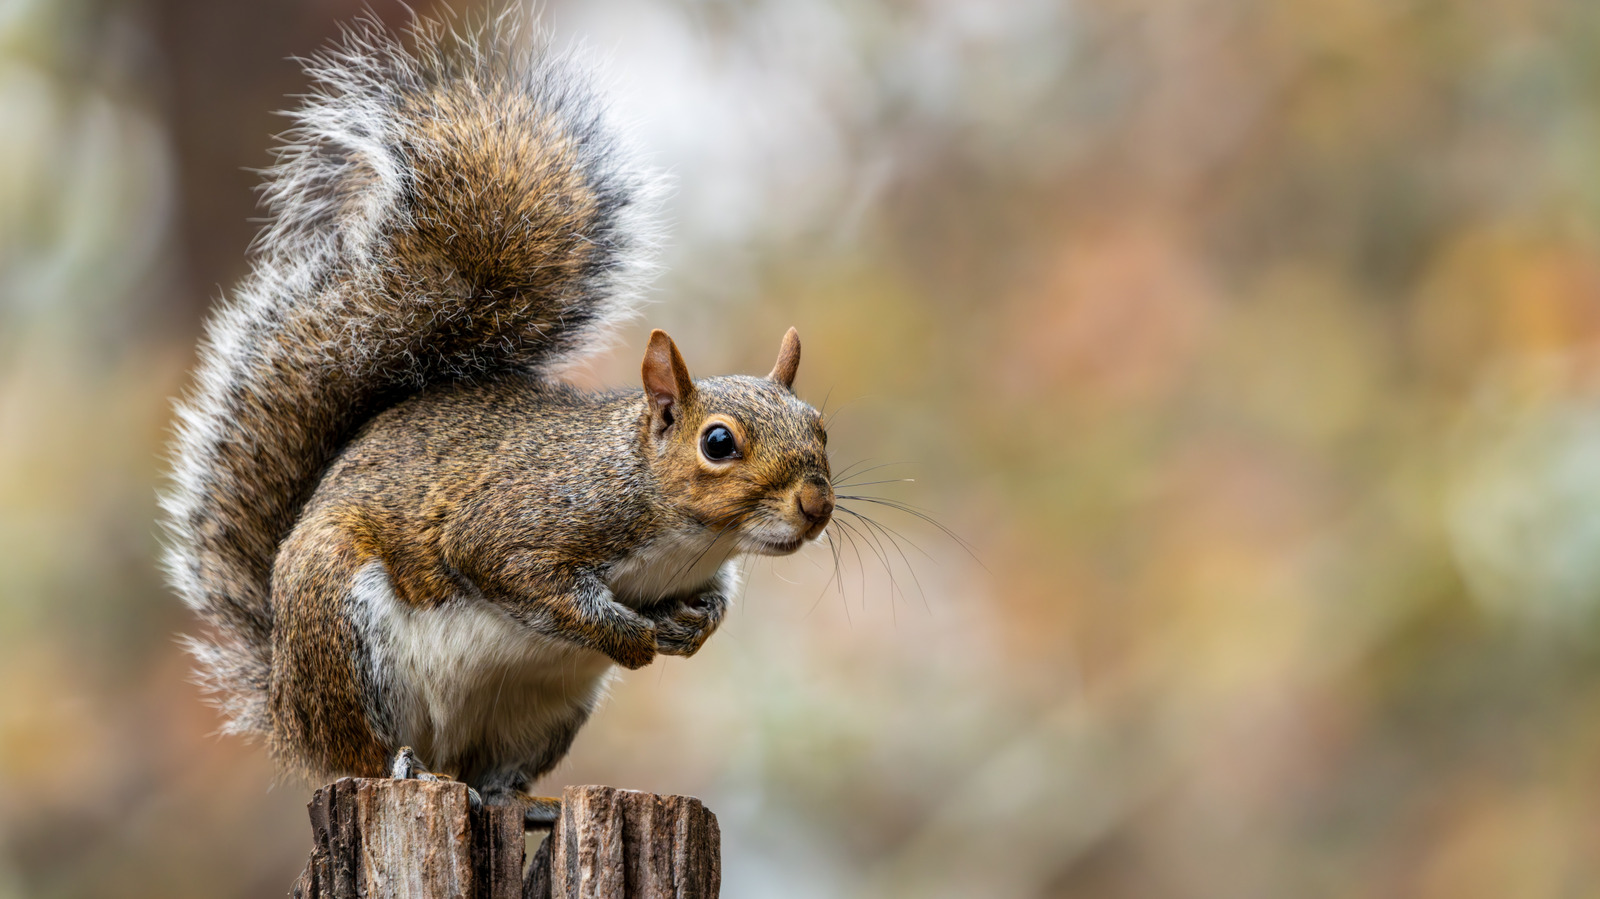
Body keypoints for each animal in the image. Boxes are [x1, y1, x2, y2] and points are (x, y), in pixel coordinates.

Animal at [160, 13, 833, 826]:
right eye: (718, 442)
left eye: (820, 426)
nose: (817, 505)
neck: (680, 530)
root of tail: (286, 700)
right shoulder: (520, 519)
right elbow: (516, 571)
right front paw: (629, 634)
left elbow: (715, 601)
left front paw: (696, 625)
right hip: (341, 629)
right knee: (362, 750)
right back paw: (404, 765)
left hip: (541, 712)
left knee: (490, 774)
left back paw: (521, 801)